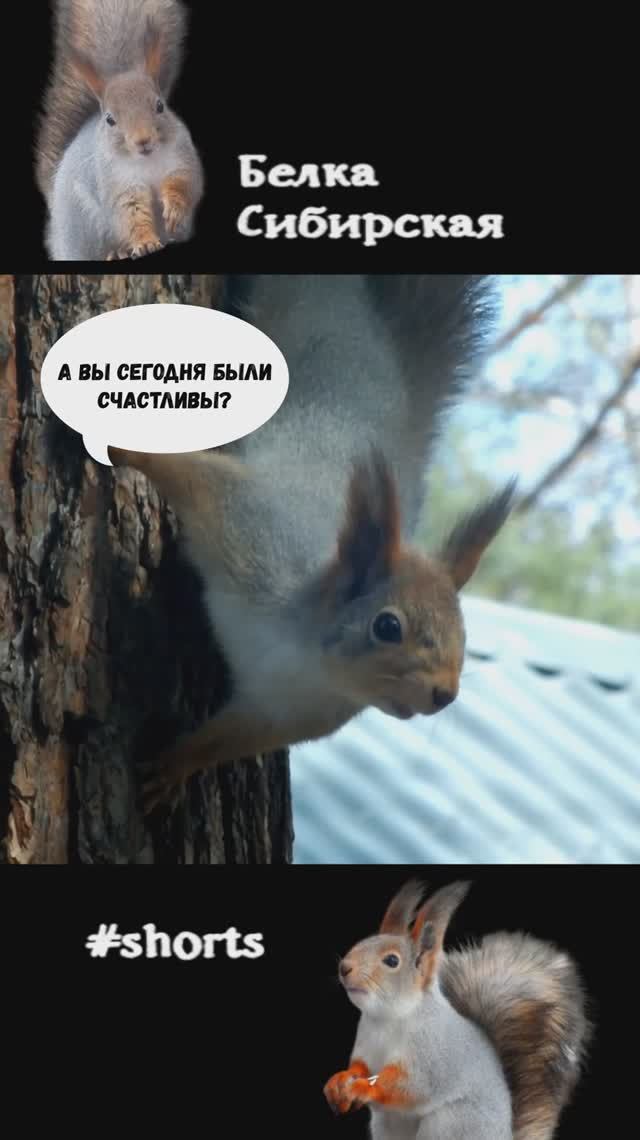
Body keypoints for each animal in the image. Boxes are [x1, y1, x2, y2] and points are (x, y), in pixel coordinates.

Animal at [35, 0, 204, 261]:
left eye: (160, 106)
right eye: (110, 119)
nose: (143, 140)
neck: (147, 161)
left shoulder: (181, 159)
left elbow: (182, 184)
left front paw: (174, 209)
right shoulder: (118, 183)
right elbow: (131, 213)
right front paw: (145, 243)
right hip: (86, 228)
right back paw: (117, 252)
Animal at [108, 274, 517, 813]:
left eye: (464, 635)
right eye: (388, 626)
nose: (444, 694)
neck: (306, 656)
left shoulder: (281, 712)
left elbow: (221, 741)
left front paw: (173, 769)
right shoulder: (251, 528)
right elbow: (194, 476)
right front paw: (124, 447)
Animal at [324, 879, 591, 1140]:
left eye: (392, 961)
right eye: (361, 943)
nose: (344, 967)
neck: (388, 1017)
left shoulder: (432, 1055)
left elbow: (410, 1086)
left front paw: (363, 1087)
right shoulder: (366, 1043)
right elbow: (360, 1066)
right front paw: (339, 1081)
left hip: (450, 1124)